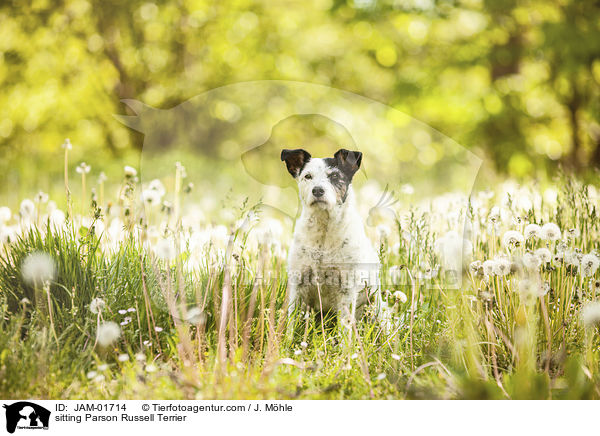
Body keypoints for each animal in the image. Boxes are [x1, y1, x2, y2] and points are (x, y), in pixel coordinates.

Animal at [282, 148, 394, 332]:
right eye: (307, 176)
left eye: (334, 176)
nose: (317, 191)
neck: (324, 229)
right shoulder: (299, 283)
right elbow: (293, 320)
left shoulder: (346, 287)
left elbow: (345, 325)